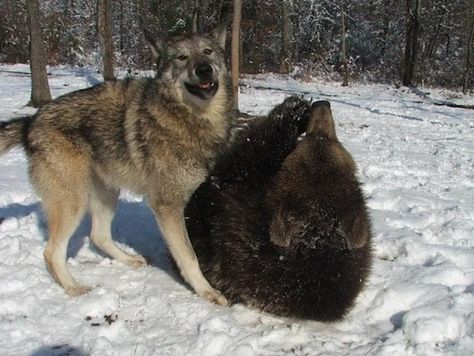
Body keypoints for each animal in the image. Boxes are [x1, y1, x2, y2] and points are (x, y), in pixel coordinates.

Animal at [0, 25, 233, 304]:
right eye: (182, 58)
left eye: (207, 52)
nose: (204, 69)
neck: (189, 118)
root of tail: (30, 122)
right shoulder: (166, 206)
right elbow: (189, 257)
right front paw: (208, 292)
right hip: (74, 202)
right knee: (51, 252)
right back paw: (74, 288)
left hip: (107, 194)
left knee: (98, 236)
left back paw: (131, 260)